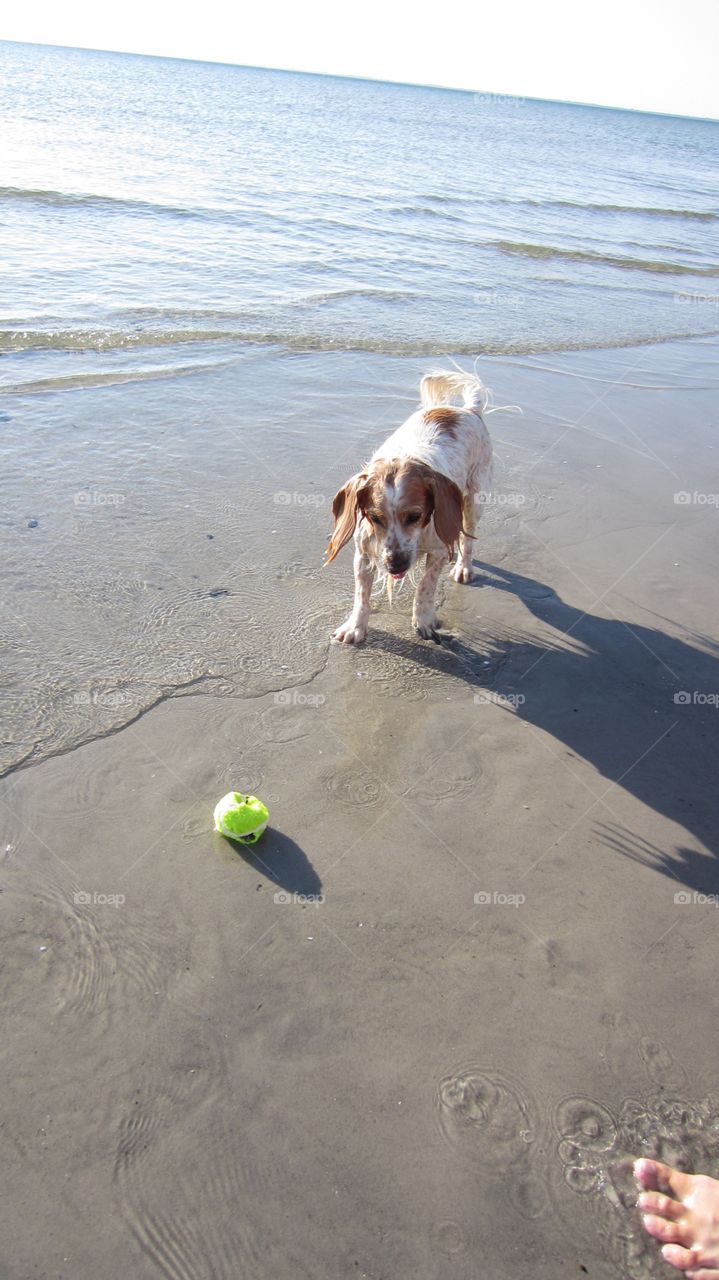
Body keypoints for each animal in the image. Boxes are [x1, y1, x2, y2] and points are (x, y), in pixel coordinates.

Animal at [327, 373, 488, 650]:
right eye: (374, 517)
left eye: (415, 516)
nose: (395, 565)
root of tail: (468, 409)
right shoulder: (364, 553)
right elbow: (362, 595)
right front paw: (355, 627)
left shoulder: (436, 552)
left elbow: (425, 587)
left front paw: (423, 621)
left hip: (473, 498)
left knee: (467, 537)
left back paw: (463, 567)